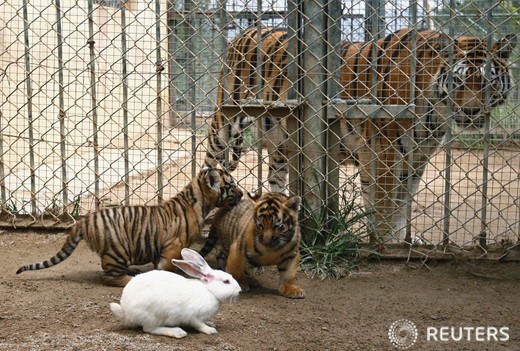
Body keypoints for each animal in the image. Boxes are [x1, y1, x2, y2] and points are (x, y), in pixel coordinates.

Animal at [16, 166, 244, 288]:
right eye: (232, 185)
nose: (242, 195)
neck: (200, 200)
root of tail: (84, 220)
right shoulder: (174, 245)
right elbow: (168, 266)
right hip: (118, 249)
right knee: (109, 276)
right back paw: (131, 277)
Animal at [109, 248, 242, 338]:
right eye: (226, 281)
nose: (239, 290)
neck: (209, 291)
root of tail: (126, 313)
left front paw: (211, 323)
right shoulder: (193, 316)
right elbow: (199, 325)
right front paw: (210, 330)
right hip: (153, 316)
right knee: (149, 329)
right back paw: (177, 332)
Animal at [206, 26, 516, 242]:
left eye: (487, 81)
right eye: (458, 81)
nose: (472, 111)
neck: (435, 114)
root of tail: (242, 32)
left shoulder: (415, 159)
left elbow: (402, 205)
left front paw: (401, 241)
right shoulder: (386, 149)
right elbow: (385, 205)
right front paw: (384, 243)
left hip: (281, 144)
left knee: (276, 182)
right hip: (225, 125)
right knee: (210, 164)